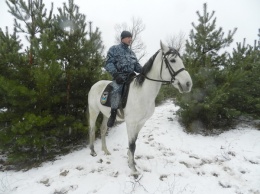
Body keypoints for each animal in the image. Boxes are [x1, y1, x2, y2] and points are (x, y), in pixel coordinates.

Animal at [88, 41, 192, 177]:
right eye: (173, 60)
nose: (188, 84)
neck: (142, 93)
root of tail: (94, 85)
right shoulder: (131, 123)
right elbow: (132, 144)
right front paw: (133, 168)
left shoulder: (141, 122)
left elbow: (134, 143)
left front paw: (130, 161)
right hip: (94, 111)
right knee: (92, 129)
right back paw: (92, 151)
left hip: (106, 114)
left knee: (103, 129)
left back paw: (105, 150)